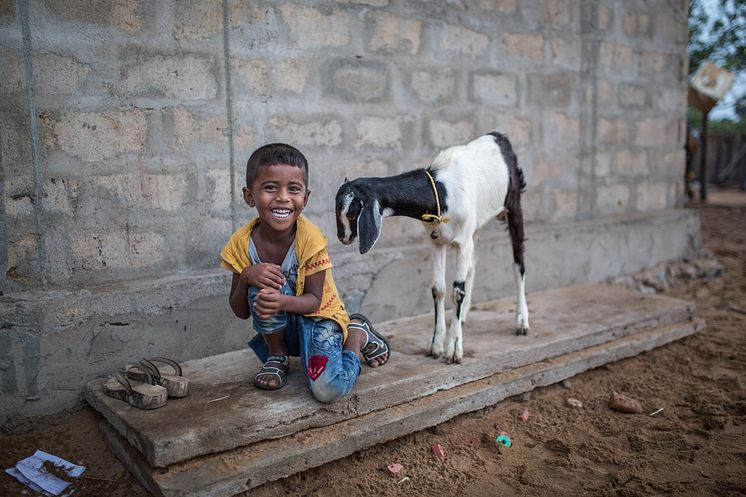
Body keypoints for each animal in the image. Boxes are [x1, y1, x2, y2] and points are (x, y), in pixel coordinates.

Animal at [334, 132, 528, 364]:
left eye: (352, 213)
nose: (342, 237)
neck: (442, 191)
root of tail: (500, 137)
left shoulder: (462, 241)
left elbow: (457, 291)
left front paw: (454, 348)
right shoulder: (436, 241)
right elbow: (439, 289)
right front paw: (436, 344)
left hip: (513, 205)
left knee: (518, 264)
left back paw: (522, 321)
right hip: (475, 226)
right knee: (473, 263)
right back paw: (462, 317)